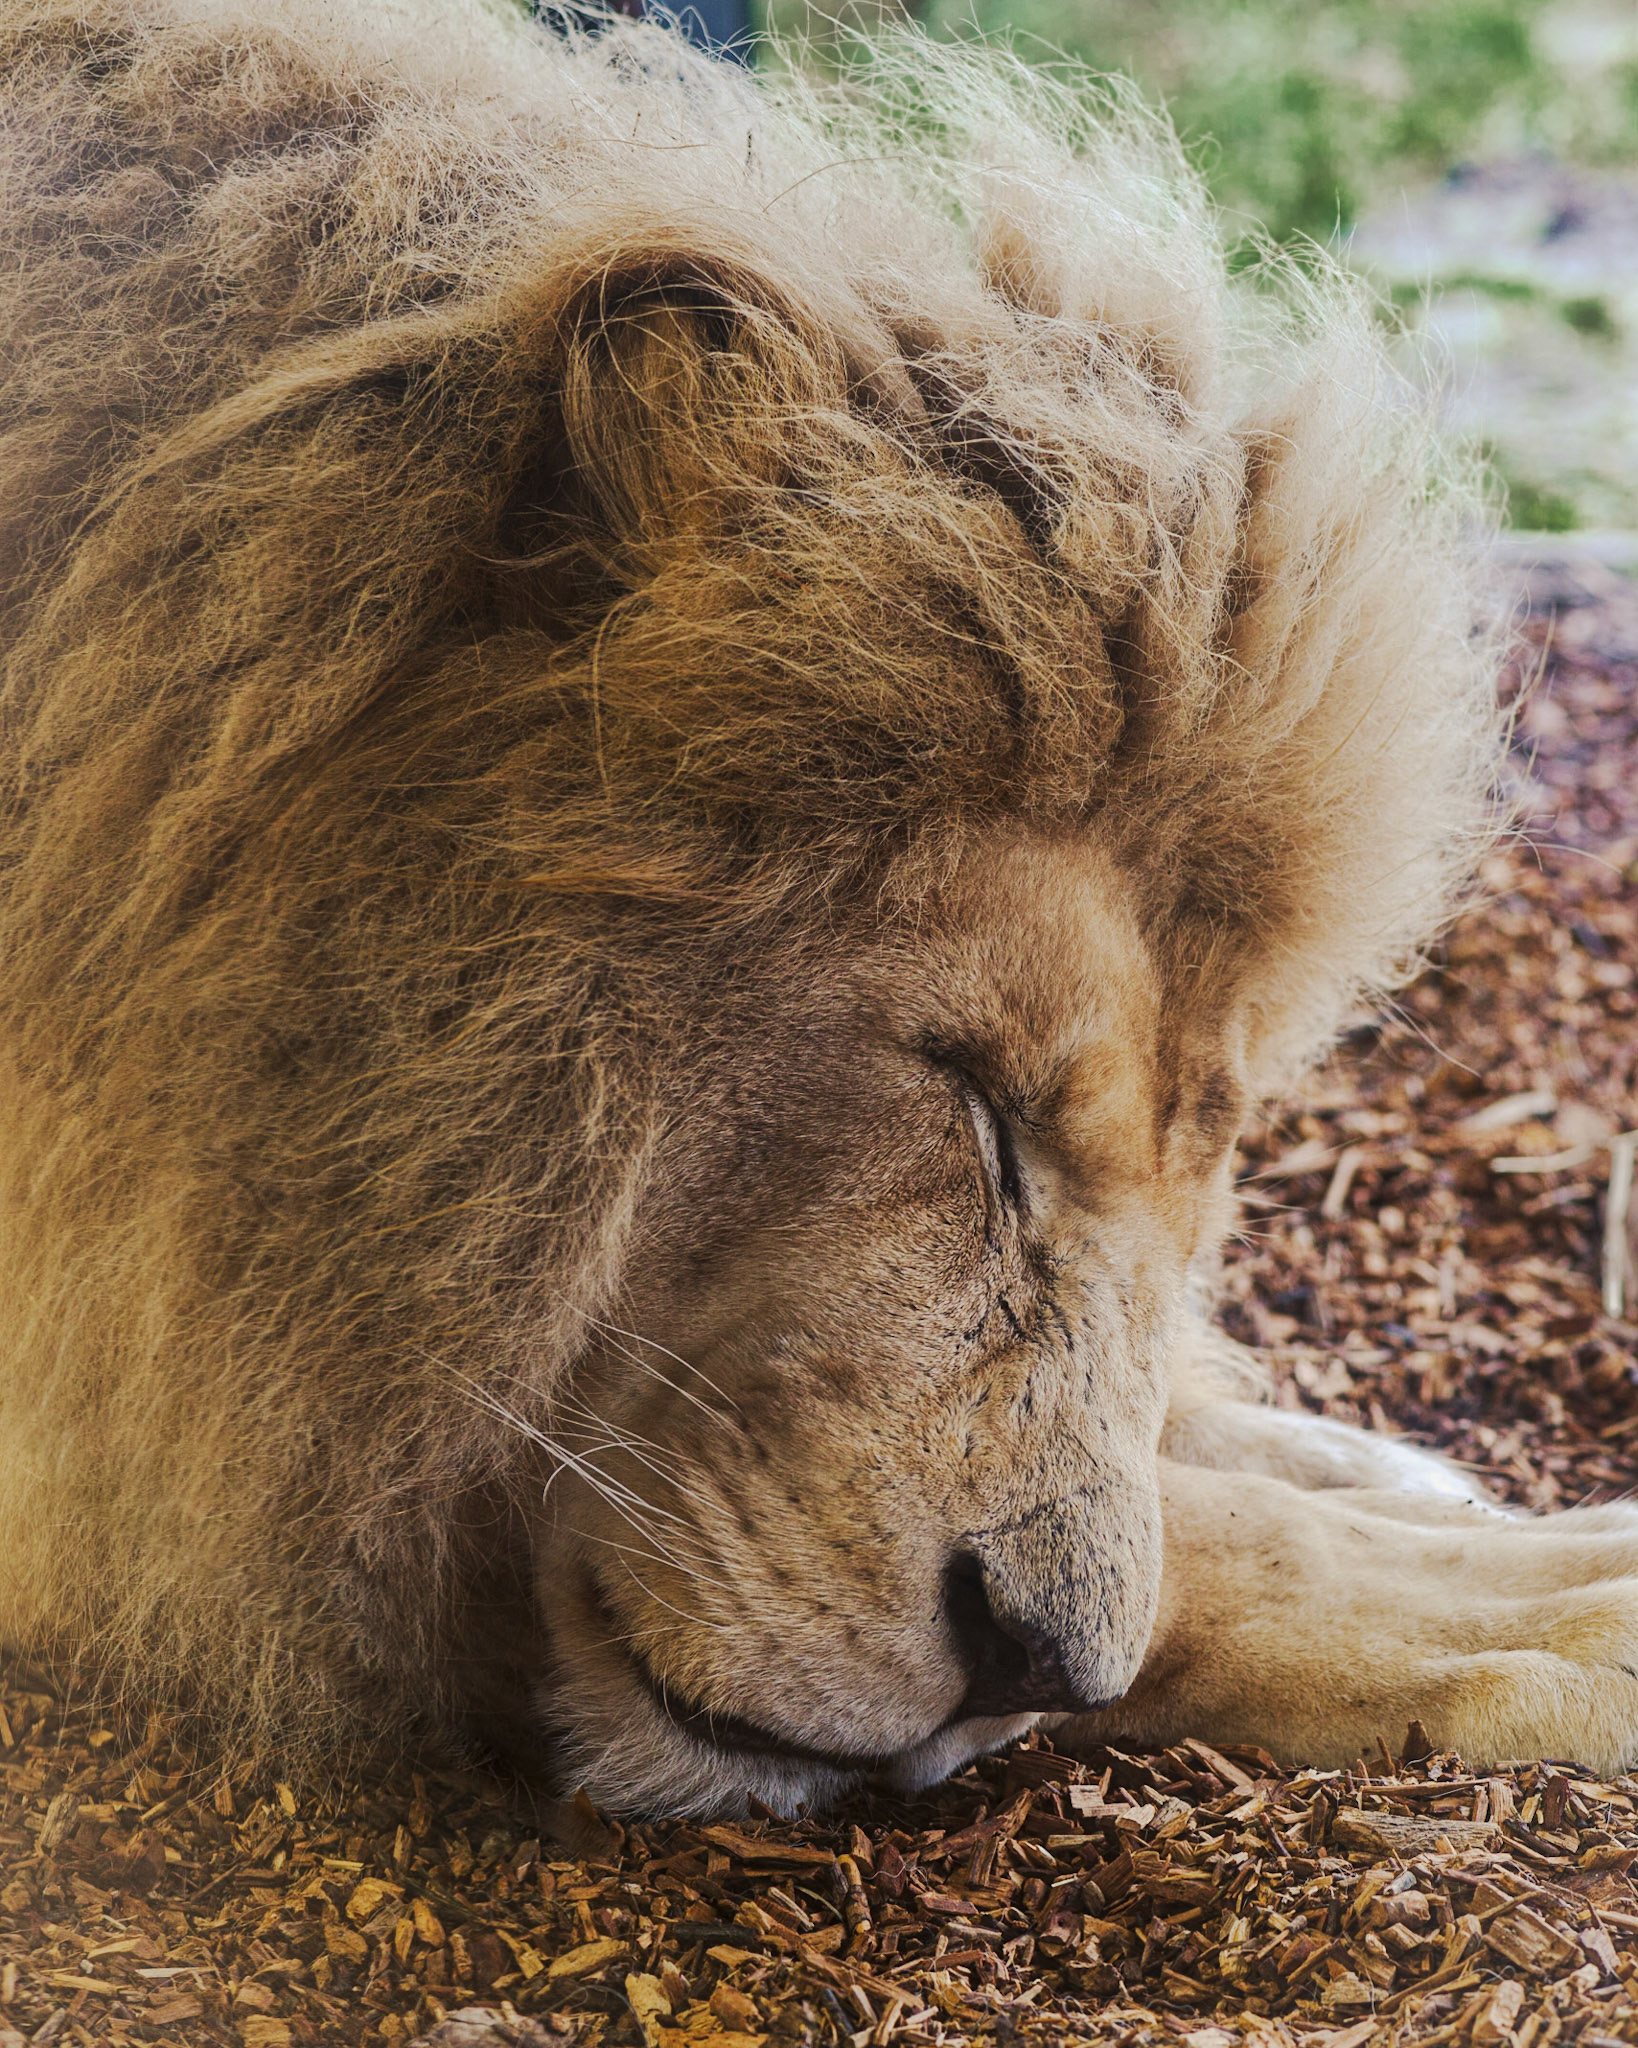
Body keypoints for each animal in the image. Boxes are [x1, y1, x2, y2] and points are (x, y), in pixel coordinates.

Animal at [4, 0, 1637, 1823]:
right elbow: (1218, 1552)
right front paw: (1546, 1599)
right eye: (971, 1104)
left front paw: (1342, 1447)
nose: (1033, 1668)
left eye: (1209, 1176)